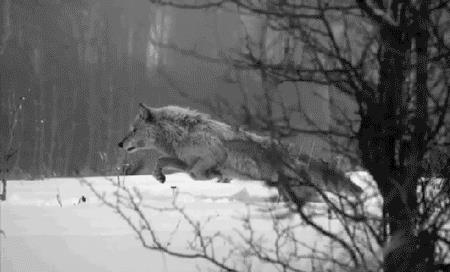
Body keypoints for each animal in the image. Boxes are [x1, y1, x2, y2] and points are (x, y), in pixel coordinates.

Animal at [117, 104, 362, 204]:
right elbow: (162, 160)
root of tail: (302, 157)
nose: (119, 143)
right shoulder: (181, 160)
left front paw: (216, 176)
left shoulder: (209, 157)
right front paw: (159, 176)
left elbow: (195, 173)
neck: (182, 133)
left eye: (133, 130)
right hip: (287, 192)